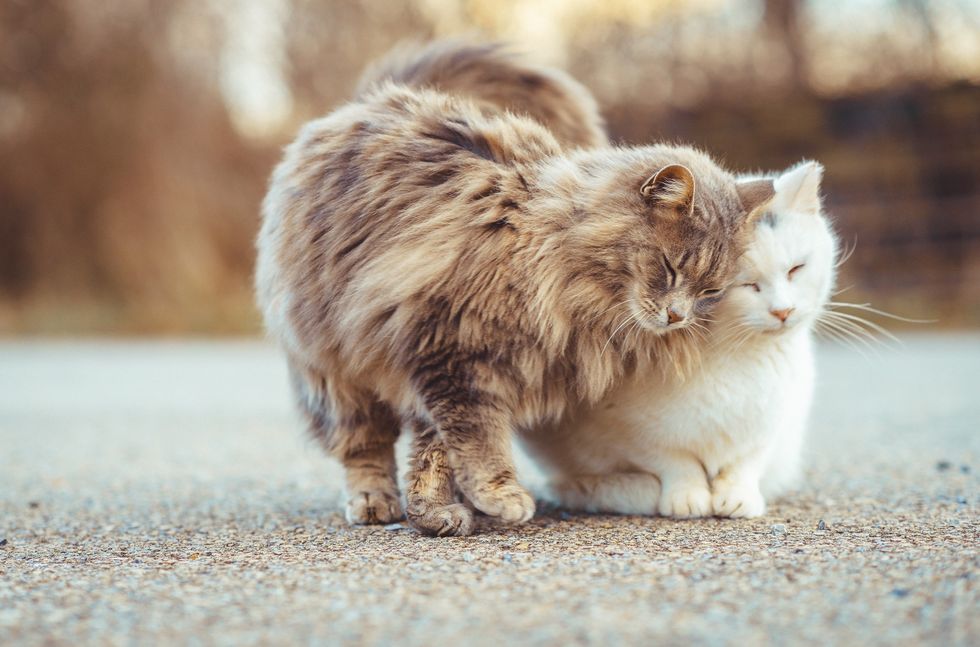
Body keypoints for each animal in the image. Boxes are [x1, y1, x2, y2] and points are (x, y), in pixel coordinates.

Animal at [524, 162, 840, 520]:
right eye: (747, 285)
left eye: (796, 269)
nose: (783, 311)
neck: (737, 355)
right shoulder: (631, 433)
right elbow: (674, 462)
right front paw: (687, 497)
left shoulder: (774, 423)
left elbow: (747, 461)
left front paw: (738, 497)